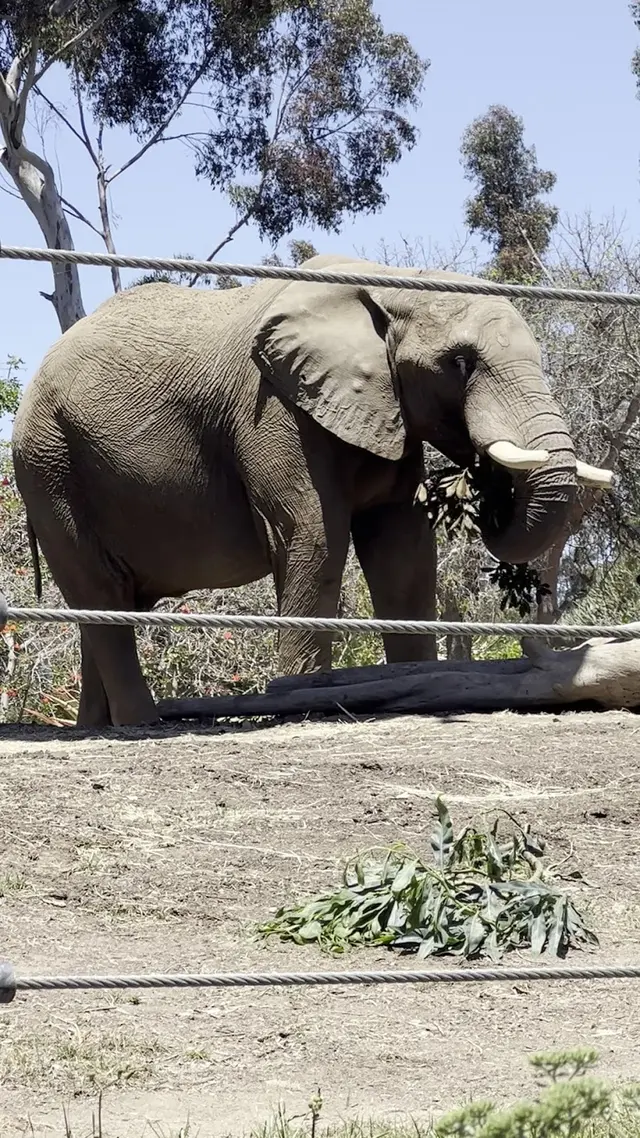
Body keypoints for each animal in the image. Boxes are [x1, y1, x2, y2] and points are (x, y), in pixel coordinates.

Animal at [11, 254, 612, 728]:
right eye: (460, 364)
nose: (485, 482)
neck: (390, 284)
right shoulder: (275, 409)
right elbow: (314, 539)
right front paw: (302, 703)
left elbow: (405, 556)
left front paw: (415, 686)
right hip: (49, 463)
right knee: (99, 592)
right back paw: (144, 723)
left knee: (112, 600)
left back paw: (97, 726)